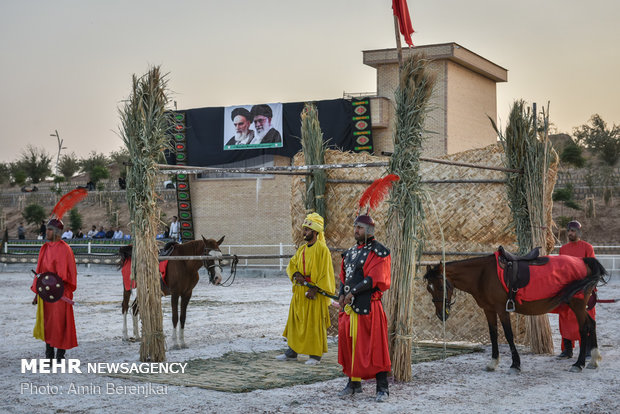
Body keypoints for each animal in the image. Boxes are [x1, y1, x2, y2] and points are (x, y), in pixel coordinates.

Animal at [422, 254, 604, 374]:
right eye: (429, 289)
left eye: (440, 286)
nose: (441, 314)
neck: (483, 274)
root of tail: (583, 261)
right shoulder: (488, 310)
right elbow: (493, 335)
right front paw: (493, 362)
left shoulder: (502, 309)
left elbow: (509, 335)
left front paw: (515, 365)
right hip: (578, 305)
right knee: (591, 324)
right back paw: (594, 359)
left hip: (577, 304)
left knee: (583, 328)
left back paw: (579, 363)